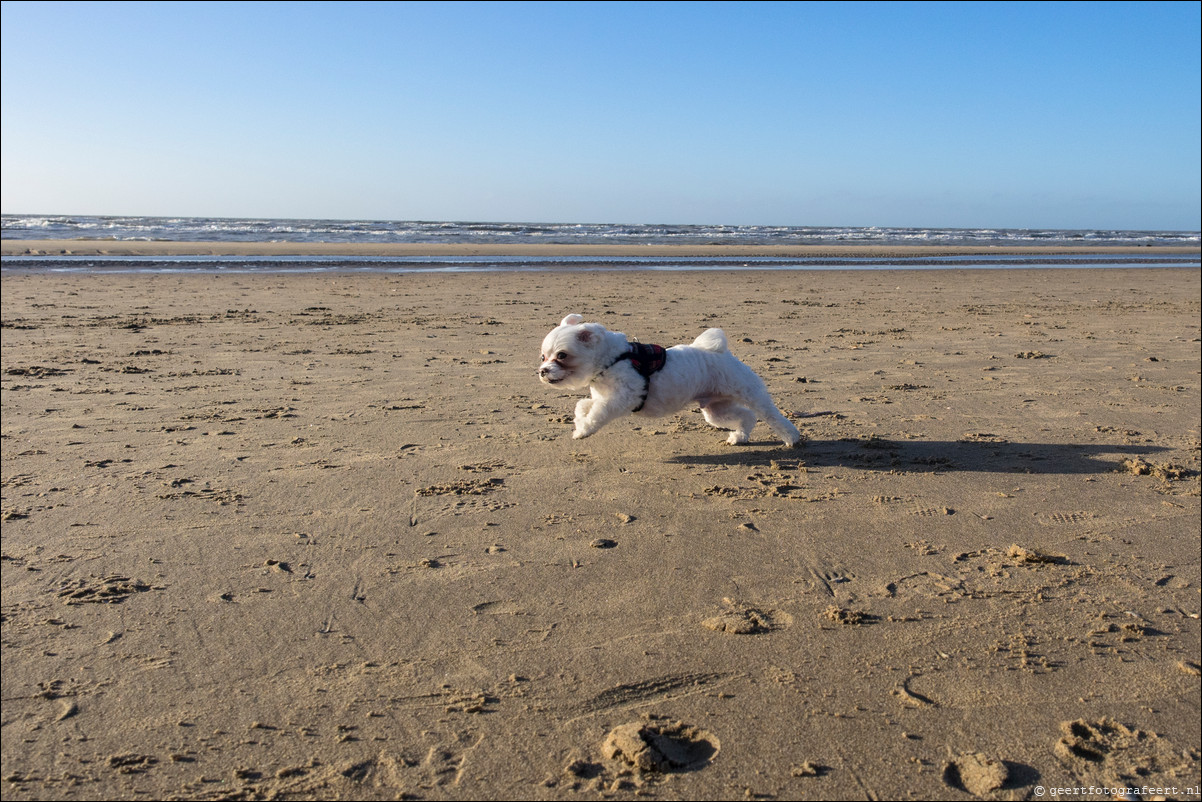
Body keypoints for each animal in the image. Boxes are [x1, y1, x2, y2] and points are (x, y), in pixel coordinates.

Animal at [536, 317, 798, 449]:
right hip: (716, 409)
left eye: (562, 355)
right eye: (543, 357)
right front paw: (580, 421)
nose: (543, 371)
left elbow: (597, 413)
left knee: (772, 416)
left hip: (750, 393)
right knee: (746, 417)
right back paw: (739, 436)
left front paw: (583, 430)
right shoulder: (603, 396)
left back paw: (791, 438)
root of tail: (719, 351)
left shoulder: (623, 397)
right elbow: (583, 406)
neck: (612, 359)